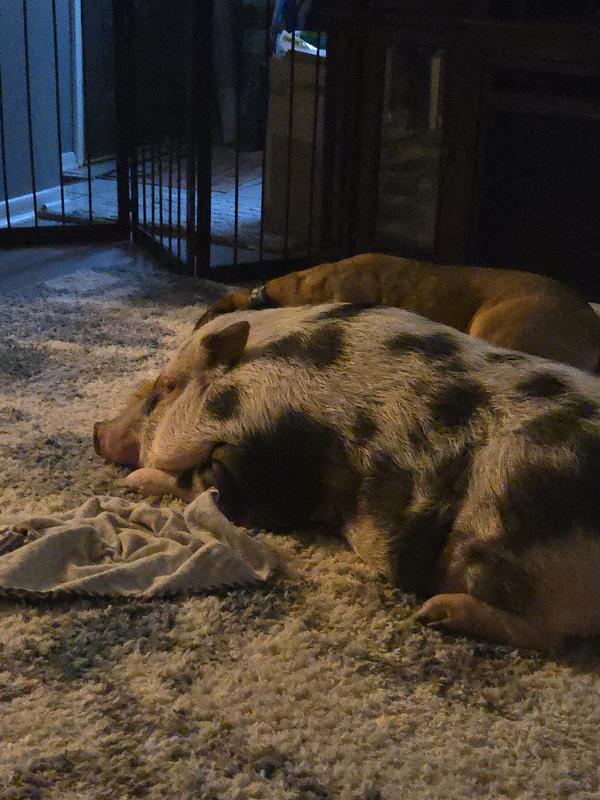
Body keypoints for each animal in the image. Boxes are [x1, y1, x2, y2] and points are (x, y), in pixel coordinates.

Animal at [95, 304, 600, 650]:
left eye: (165, 389)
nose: (97, 431)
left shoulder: (266, 468)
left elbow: (204, 488)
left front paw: (135, 483)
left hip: (515, 561)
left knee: (550, 634)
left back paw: (435, 614)